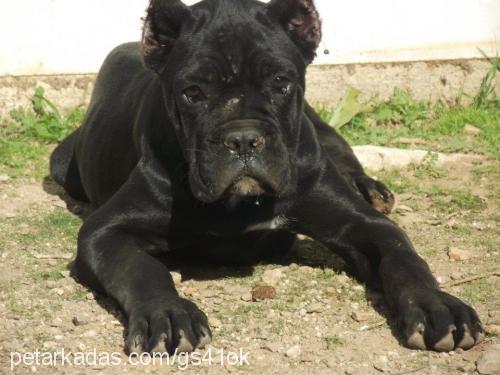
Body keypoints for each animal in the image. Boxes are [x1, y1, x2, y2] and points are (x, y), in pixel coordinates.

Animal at [48, 0, 482, 356]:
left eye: (280, 83)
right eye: (192, 92)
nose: (242, 139)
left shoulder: (362, 224)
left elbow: (404, 257)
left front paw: (436, 305)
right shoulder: (105, 229)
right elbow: (139, 269)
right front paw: (167, 313)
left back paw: (369, 187)